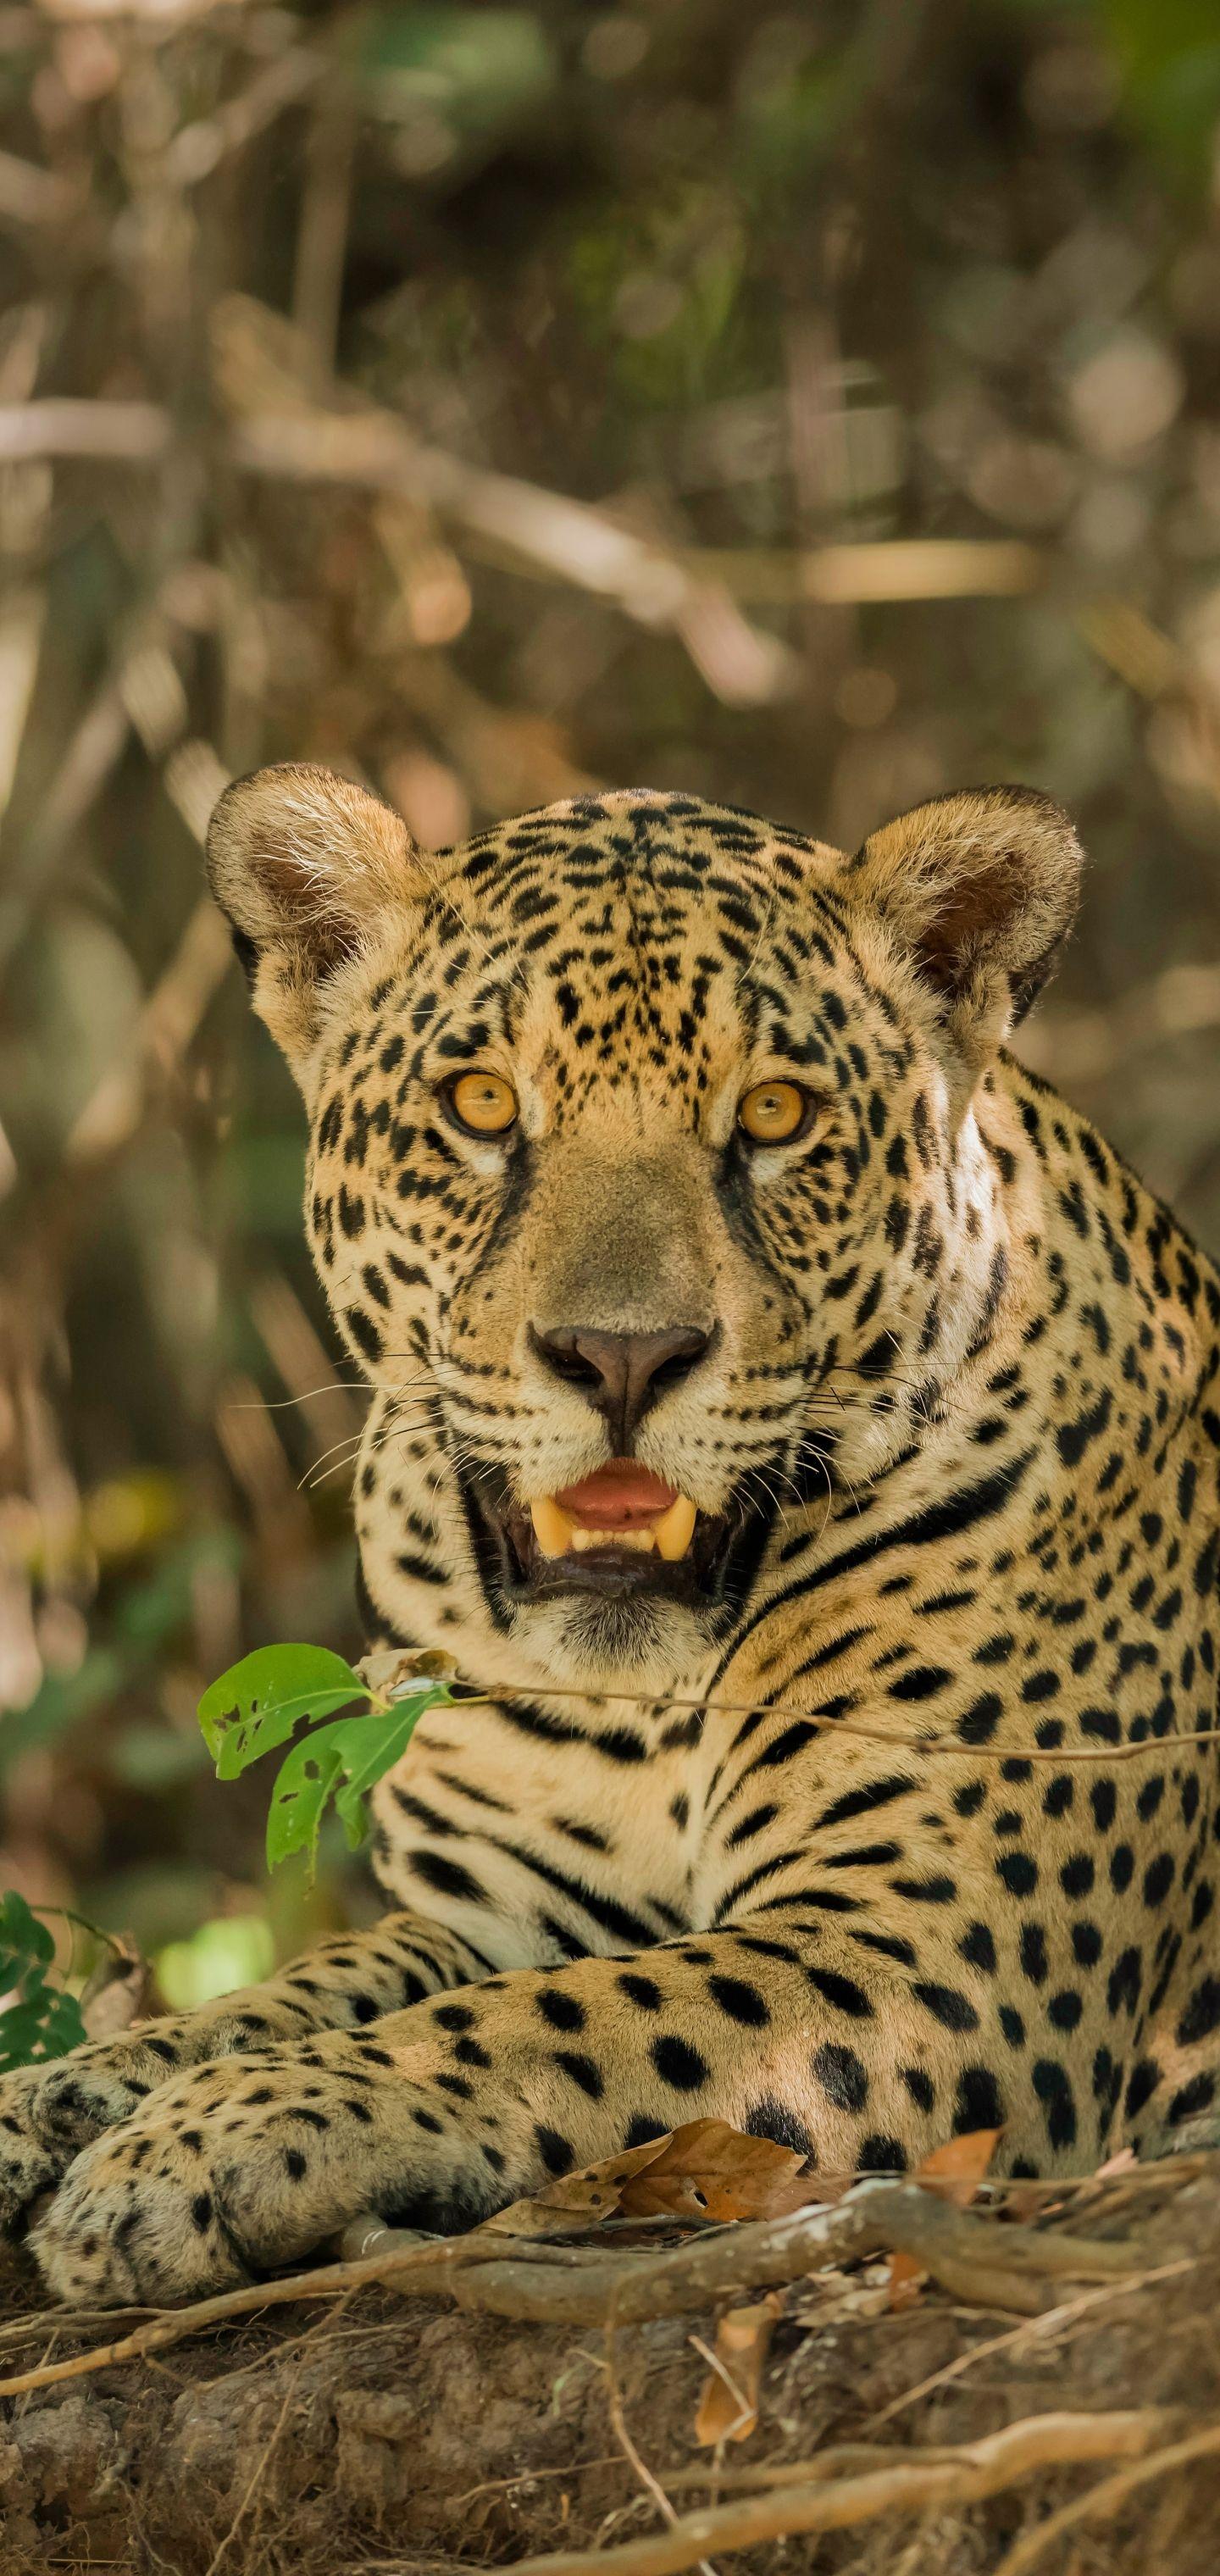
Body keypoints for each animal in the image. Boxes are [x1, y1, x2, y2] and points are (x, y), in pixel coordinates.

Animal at [5, 767, 1220, 2311]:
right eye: (477, 1103)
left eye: (775, 1113)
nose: (623, 1356)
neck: (637, 1702)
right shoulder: (502, 1907)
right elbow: (306, 1985)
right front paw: (65, 2094)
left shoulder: (936, 1949)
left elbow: (546, 2020)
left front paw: (199, 2147)